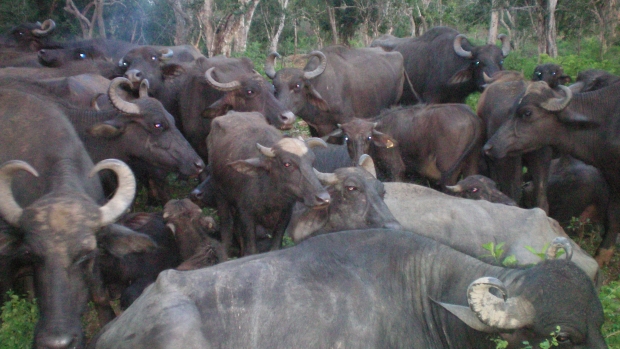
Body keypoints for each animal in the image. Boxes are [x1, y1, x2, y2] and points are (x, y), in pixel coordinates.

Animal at [207, 111, 334, 256]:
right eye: (287, 164)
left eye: (312, 162)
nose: (323, 199)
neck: (270, 197)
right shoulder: (246, 213)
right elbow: (251, 249)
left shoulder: (285, 214)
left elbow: (275, 246)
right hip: (220, 195)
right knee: (226, 226)